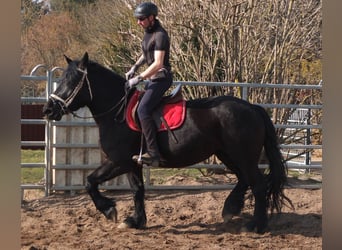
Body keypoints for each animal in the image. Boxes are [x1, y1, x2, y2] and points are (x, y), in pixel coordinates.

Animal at [44, 51, 292, 233]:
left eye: (72, 80)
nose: (48, 109)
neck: (118, 112)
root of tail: (252, 108)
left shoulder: (119, 161)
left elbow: (90, 182)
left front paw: (109, 210)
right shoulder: (132, 163)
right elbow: (137, 189)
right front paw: (136, 221)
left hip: (244, 157)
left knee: (257, 184)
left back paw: (257, 225)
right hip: (228, 155)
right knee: (243, 180)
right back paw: (231, 208)